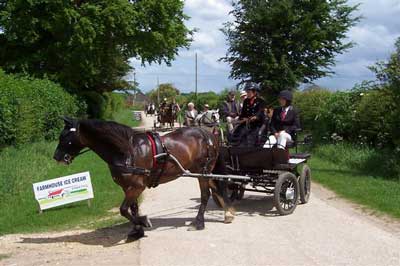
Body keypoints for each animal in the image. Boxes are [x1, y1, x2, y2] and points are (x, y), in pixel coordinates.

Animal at [53, 117, 234, 240]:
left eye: (65, 137)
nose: (57, 157)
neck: (127, 151)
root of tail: (209, 134)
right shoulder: (127, 187)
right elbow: (132, 208)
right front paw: (137, 230)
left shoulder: (137, 186)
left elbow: (123, 209)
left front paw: (143, 222)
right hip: (203, 172)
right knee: (216, 188)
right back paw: (228, 213)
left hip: (203, 171)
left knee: (205, 194)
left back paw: (199, 223)